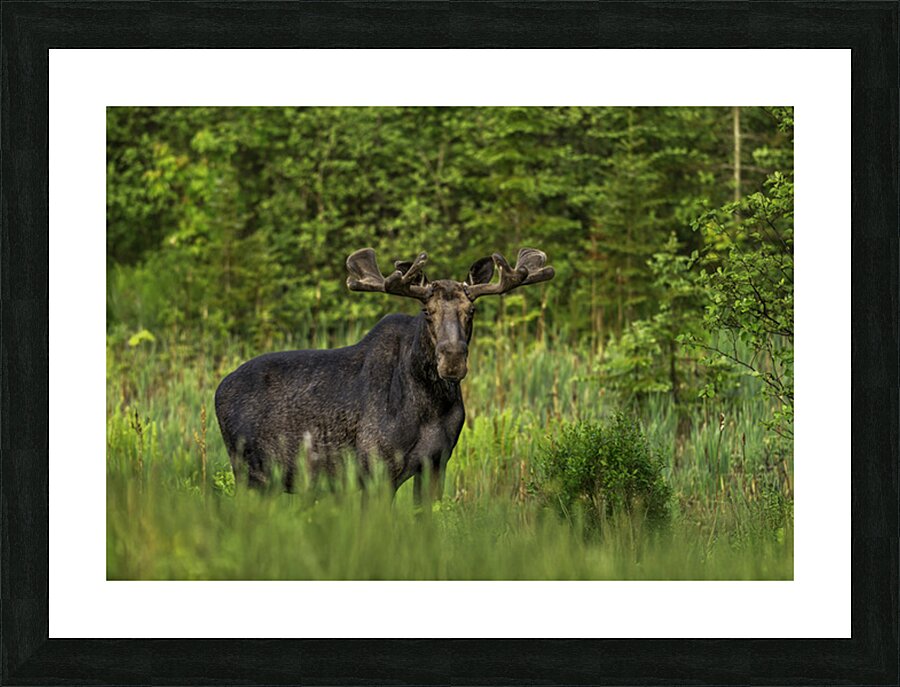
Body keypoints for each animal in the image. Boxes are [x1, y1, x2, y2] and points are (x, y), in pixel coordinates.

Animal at [214, 247, 554, 505]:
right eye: (426, 312)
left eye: (471, 311)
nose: (453, 359)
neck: (431, 407)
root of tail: (218, 390)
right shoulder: (375, 468)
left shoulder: (436, 464)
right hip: (249, 472)